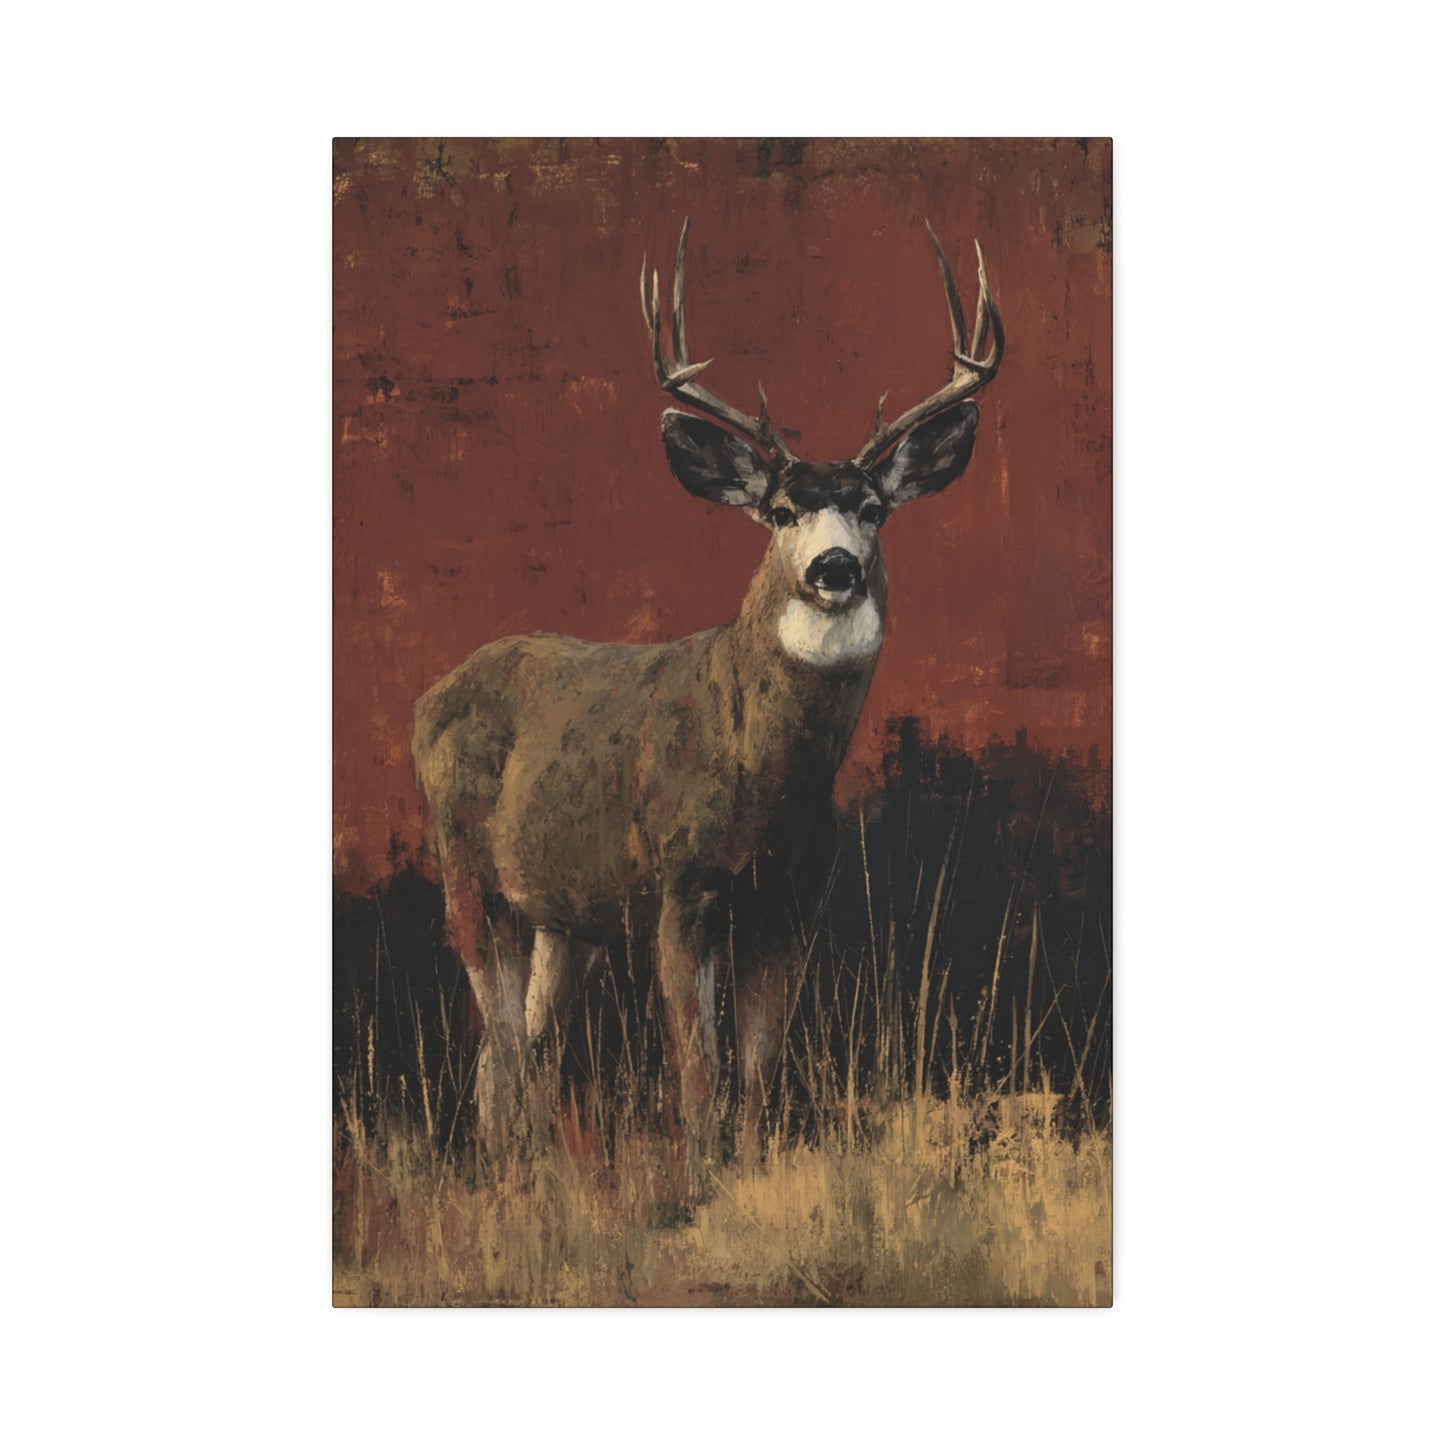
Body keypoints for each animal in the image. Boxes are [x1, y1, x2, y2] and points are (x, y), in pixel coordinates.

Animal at [412, 220, 1003, 1192]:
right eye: (780, 509)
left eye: (872, 509)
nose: (833, 568)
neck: (761, 780)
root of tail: (429, 694)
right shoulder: (679, 885)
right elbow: (698, 1063)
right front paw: (694, 1185)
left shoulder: (789, 901)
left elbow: (758, 1065)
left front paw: (747, 1175)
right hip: (465, 870)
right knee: (496, 1037)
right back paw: (513, 1177)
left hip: (563, 912)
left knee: (524, 1042)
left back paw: (531, 1173)